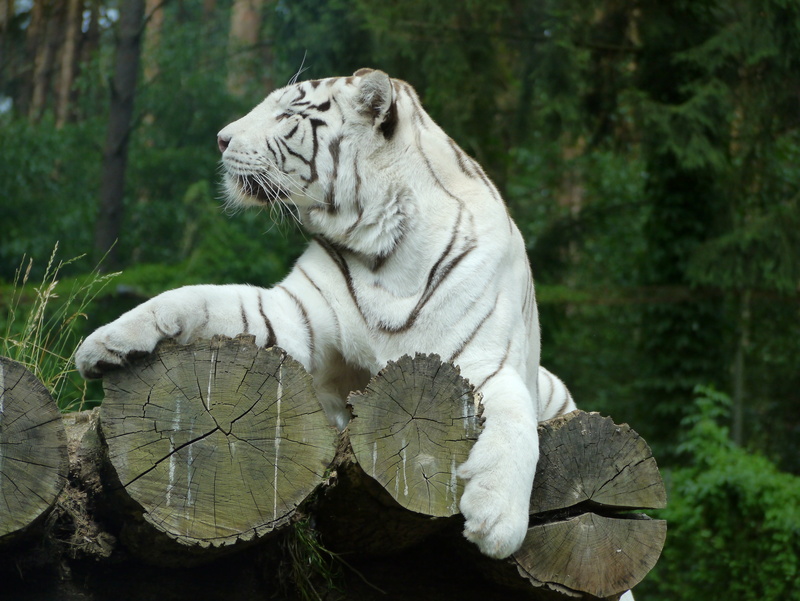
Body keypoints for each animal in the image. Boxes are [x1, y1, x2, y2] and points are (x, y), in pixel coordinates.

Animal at [75, 68, 577, 560]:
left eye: (287, 114)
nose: (220, 139)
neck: (384, 250)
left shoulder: (487, 360)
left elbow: (515, 420)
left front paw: (498, 521)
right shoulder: (292, 315)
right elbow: (194, 299)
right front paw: (103, 343)